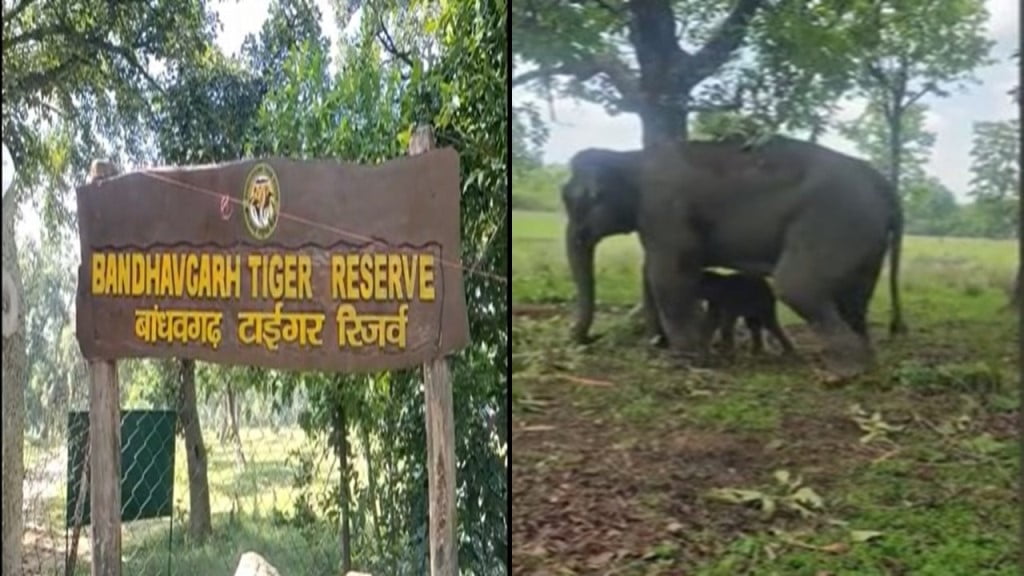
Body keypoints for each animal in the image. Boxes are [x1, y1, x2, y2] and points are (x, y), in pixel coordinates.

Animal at [565, 134, 909, 377]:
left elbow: (668, 275)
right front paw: (657, 348)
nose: (583, 339)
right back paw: (864, 362)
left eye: (575, 202)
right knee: (855, 300)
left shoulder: (665, 210)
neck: (632, 158)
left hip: (835, 223)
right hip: (866, 241)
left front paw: (683, 360)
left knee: (796, 285)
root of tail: (886, 186)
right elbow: (650, 273)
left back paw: (842, 373)